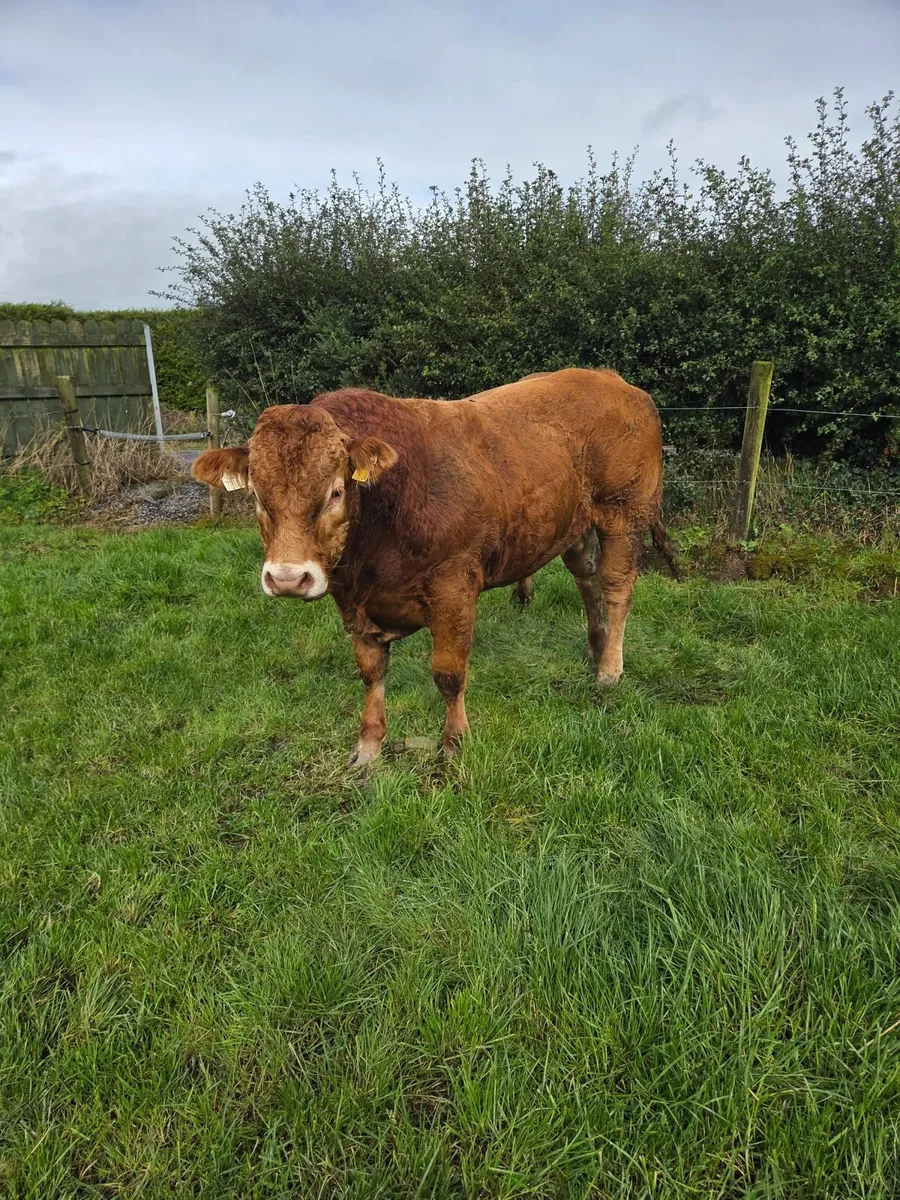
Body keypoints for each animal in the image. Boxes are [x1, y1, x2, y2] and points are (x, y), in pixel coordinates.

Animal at [191, 368, 680, 767]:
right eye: (257, 496)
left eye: (335, 492)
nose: (289, 578)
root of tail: (614, 381)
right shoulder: (354, 603)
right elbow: (371, 672)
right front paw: (368, 747)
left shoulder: (454, 587)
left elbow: (448, 673)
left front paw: (454, 743)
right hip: (575, 524)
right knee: (587, 580)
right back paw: (596, 646)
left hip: (625, 511)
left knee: (616, 587)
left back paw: (609, 670)